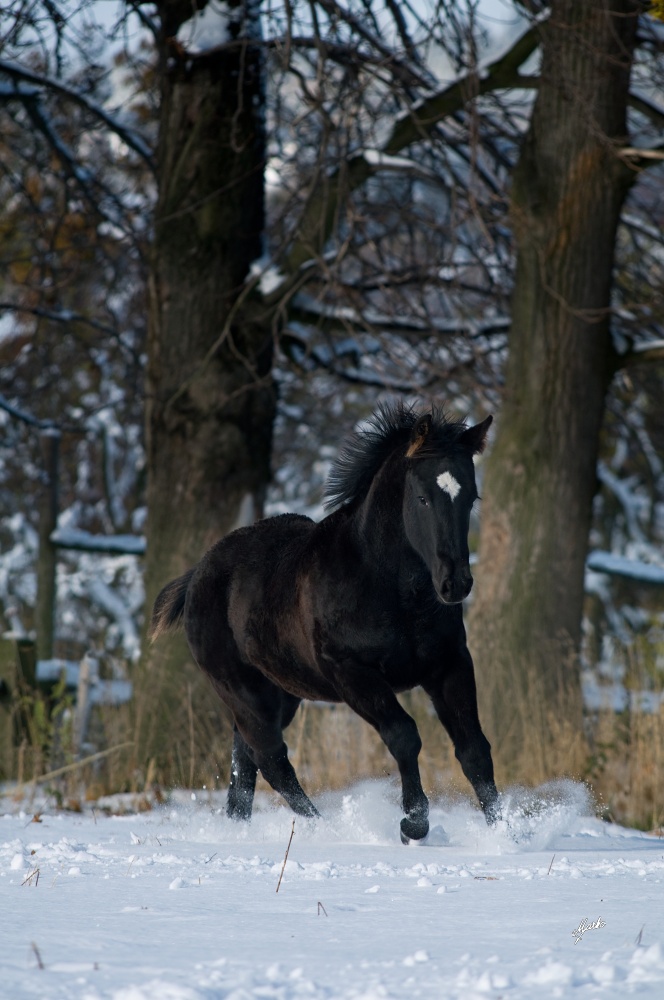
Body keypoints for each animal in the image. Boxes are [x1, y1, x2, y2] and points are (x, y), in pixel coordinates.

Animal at [152, 402, 498, 840]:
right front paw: (414, 823)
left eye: (471, 496)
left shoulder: (449, 664)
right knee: (271, 759)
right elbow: (404, 736)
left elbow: (473, 749)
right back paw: (327, 829)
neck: (387, 586)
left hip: (278, 692)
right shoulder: (351, 673)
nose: (456, 583)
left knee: (246, 760)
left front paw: (507, 832)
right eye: (422, 498)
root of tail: (197, 574)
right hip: (240, 688)